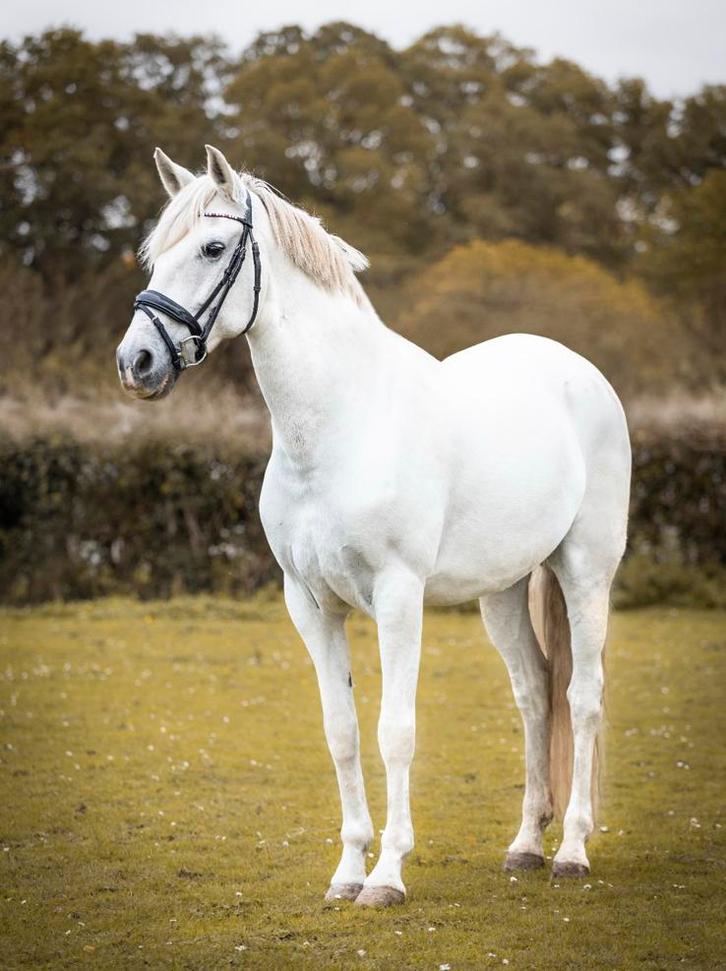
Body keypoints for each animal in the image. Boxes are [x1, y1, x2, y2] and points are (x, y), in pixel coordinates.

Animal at [117, 145, 631, 908]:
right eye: (154, 254)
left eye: (211, 248)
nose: (136, 363)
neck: (342, 423)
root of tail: (579, 371)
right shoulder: (310, 605)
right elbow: (342, 732)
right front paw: (348, 870)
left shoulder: (397, 596)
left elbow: (395, 732)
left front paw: (387, 875)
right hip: (502, 591)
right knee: (536, 694)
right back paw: (524, 846)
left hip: (586, 570)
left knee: (583, 697)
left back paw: (570, 849)